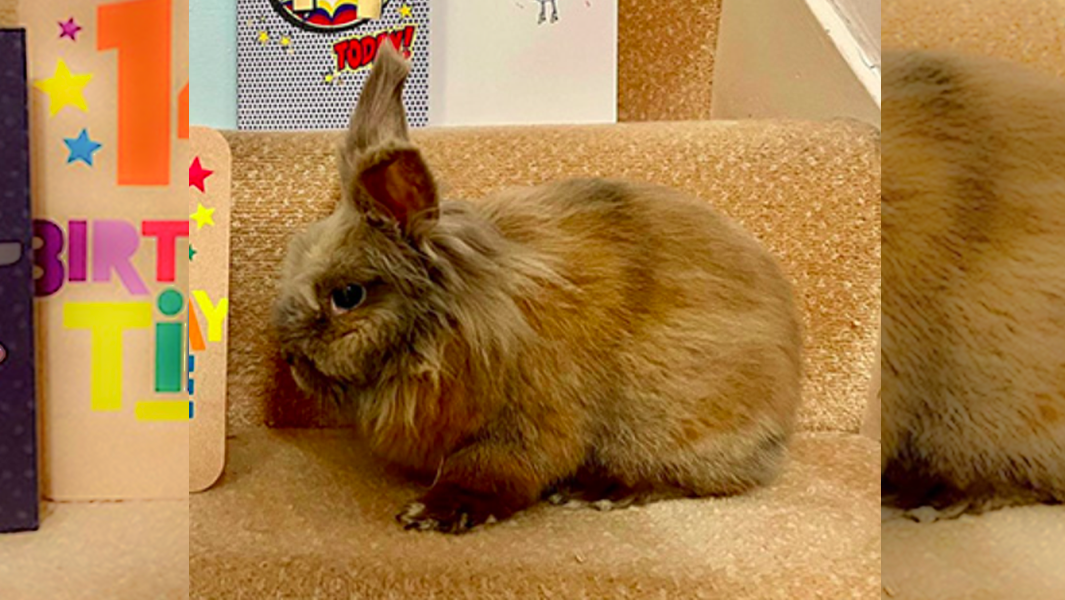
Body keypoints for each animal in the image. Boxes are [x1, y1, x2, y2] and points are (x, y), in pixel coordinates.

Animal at [273, 42, 802, 534]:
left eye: (347, 297)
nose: (290, 357)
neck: (452, 326)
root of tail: (782, 424)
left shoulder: (527, 424)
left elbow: (490, 472)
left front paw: (433, 513)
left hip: (667, 423)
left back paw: (595, 492)